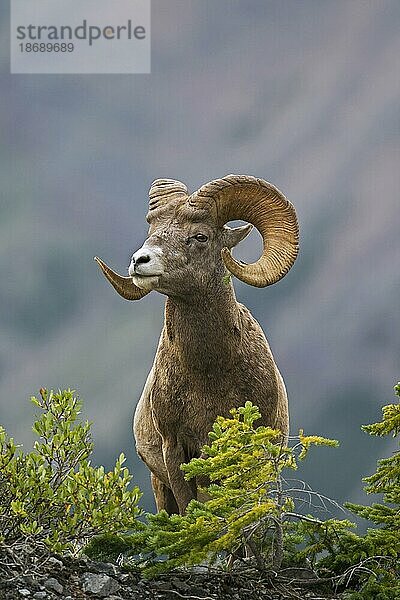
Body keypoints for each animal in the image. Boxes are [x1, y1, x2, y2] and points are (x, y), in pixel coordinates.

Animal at [95, 175, 298, 516]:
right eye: (152, 233)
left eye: (200, 236)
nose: (139, 261)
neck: (209, 374)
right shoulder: (175, 451)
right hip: (161, 489)